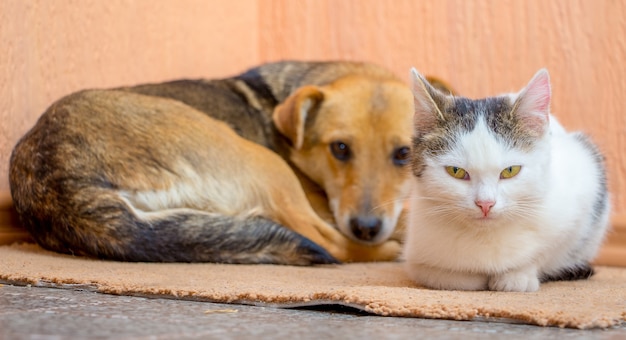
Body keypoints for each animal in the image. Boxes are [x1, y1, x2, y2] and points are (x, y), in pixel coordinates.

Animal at [8, 61, 414, 264]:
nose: (367, 228)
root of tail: (59, 186)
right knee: (329, 242)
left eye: (403, 153)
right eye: (340, 149)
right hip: (264, 164)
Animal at [402, 68, 608, 292]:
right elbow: (444, 276)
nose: (485, 204)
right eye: (456, 171)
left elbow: (547, 251)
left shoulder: (584, 186)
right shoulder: (416, 253)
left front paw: (518, 275)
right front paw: (471, 277)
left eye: (510, 171)